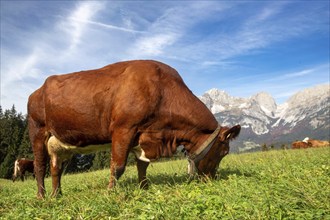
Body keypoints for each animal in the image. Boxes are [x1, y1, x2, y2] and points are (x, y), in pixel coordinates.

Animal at [27, 59, 240, 199]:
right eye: (224, 152)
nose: (212, 179)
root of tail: (37, 90)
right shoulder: (123, 129)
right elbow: (118, 166)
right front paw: (110, 193)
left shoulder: (143, 135)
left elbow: (142, 165)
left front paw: (144, 188)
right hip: (37, 131)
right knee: (40, 166)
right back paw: (41, 197)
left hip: (60, 144)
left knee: (56, 168)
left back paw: (57, 195)